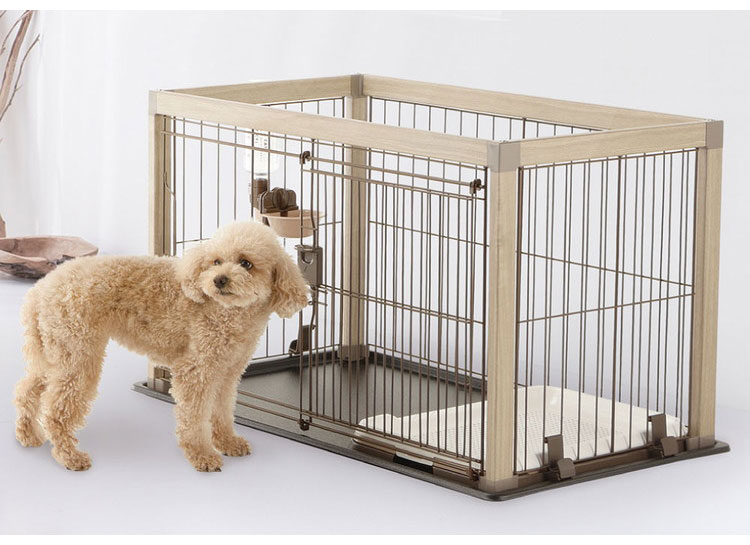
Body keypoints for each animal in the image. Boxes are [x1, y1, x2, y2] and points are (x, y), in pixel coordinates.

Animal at [13, 221, 308, 472]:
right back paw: (69, 456)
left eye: (246, 263)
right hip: (77, 355)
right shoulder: (196, 371)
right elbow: (194, 416)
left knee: (27, 390)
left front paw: (228, 442)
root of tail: (40, 289)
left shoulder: (227, 373)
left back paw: (28, 435)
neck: (226, 311)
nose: (219, 279)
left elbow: (223, 411)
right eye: (216, 261)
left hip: (53, 352)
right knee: (56, 411)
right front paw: (202, 455)